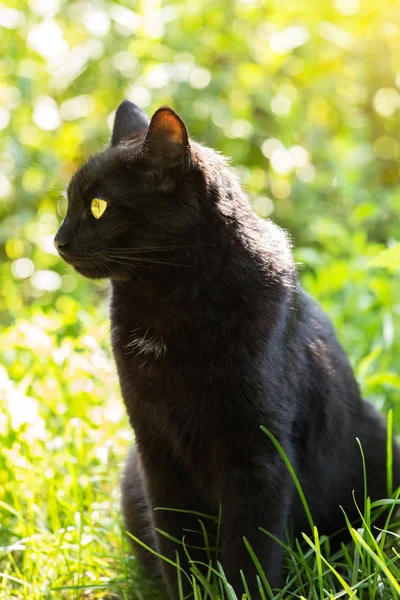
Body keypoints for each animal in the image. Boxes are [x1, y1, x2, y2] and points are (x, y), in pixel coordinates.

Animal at [54, 101, 400, 596]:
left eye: (99, 206)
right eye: (68, 203)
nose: (58, 241)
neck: (168, 308)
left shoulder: (257, 455)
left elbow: (250, 549)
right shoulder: (156, 448)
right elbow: (177, 542)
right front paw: (190, 590)